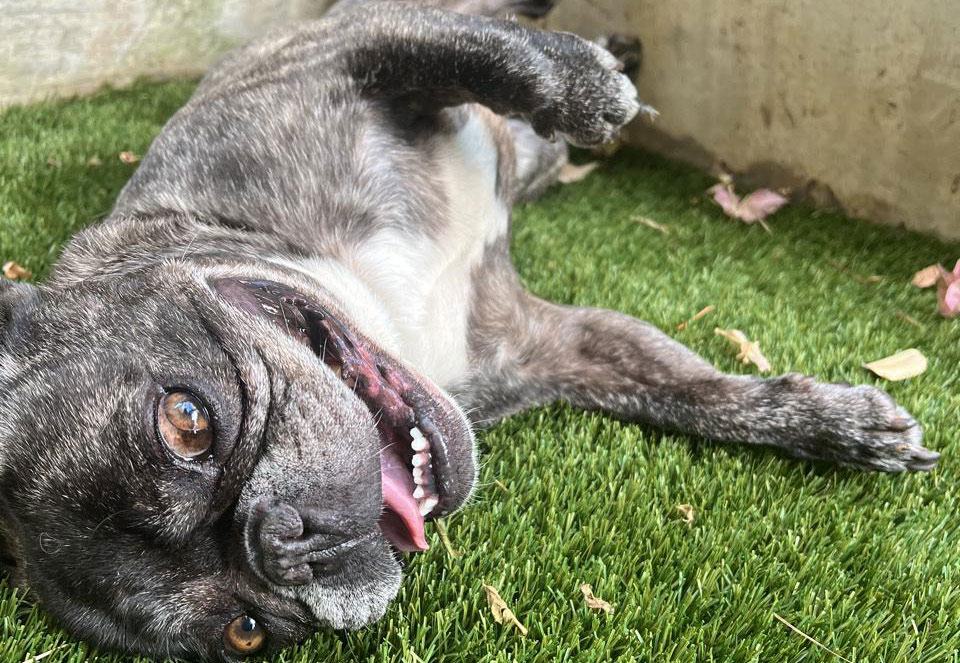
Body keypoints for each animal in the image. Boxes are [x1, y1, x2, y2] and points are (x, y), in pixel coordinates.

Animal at [0, 0, 936, 660]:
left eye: (187, 419)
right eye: (245, 630)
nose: (282, 543)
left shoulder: (353, 51)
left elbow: (472, 49)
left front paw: (580, 85)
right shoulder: (556, 348)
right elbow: (692, 390)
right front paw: (835, 424)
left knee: (490, 24)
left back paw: (597, 60)